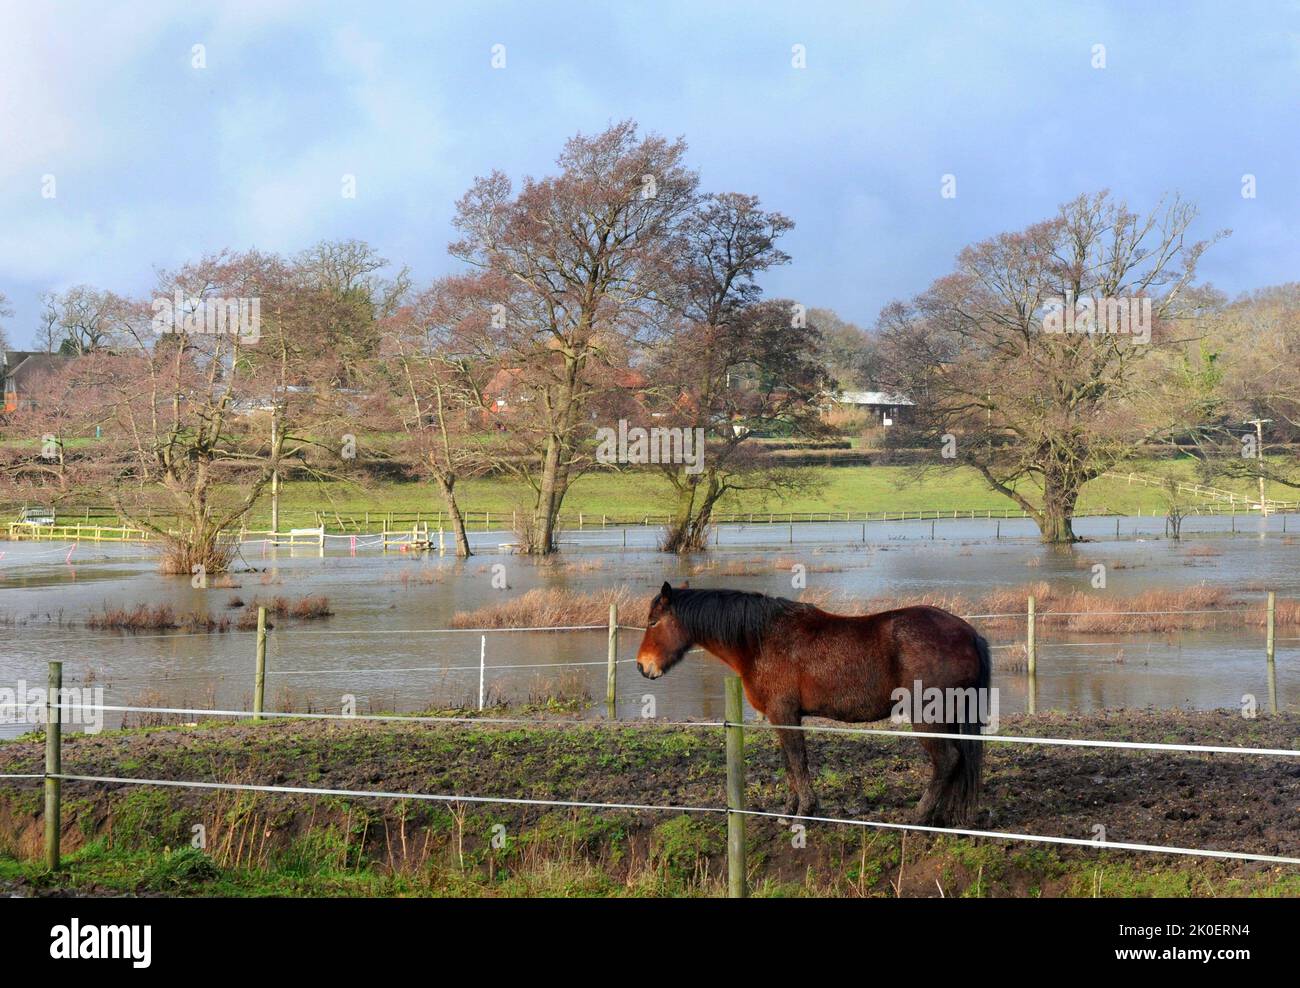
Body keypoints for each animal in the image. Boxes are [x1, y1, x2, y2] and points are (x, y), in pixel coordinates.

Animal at [634, 583, 992, 826]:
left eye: (653, 622)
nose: (642, 666)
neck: (761, 641)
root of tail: (967, 632)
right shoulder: (780, 717)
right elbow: (789, 764)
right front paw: (789, 811)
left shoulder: (785, 713)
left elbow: (798, 761)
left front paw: (803, 813)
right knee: (957, 761)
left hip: (928, 716)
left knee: (947, 760)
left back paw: (918, 816)